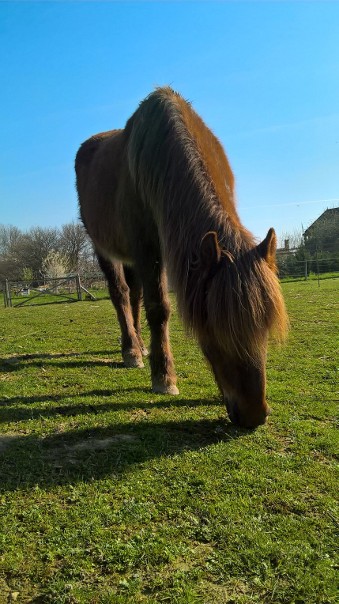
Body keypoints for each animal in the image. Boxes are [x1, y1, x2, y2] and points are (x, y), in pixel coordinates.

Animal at [75, 86, 288, 430]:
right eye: (214, 333)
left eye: (265, 328)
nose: (254, 415)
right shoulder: (148, 249)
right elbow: (159, 309)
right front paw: (164, 378)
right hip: (104, 248)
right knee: (121, 295)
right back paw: (131, 350)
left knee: (133, 295)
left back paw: (141, 347)